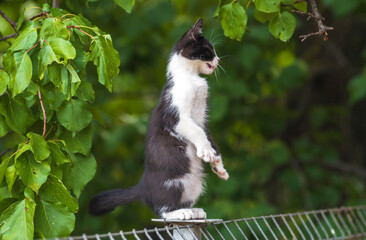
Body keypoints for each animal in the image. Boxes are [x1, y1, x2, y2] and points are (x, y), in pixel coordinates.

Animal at [88, 19, 227, 220]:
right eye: (209, 49)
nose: (218, 60)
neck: (191, 77)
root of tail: (143, 187)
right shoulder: (177, 116)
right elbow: (197, 132)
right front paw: (207, 152)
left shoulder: (201, 118)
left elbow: (207, 135)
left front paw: (218, 165)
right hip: (173, 182)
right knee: (161, 210)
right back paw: (180, 213)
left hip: (194, 183)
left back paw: (194, 211)